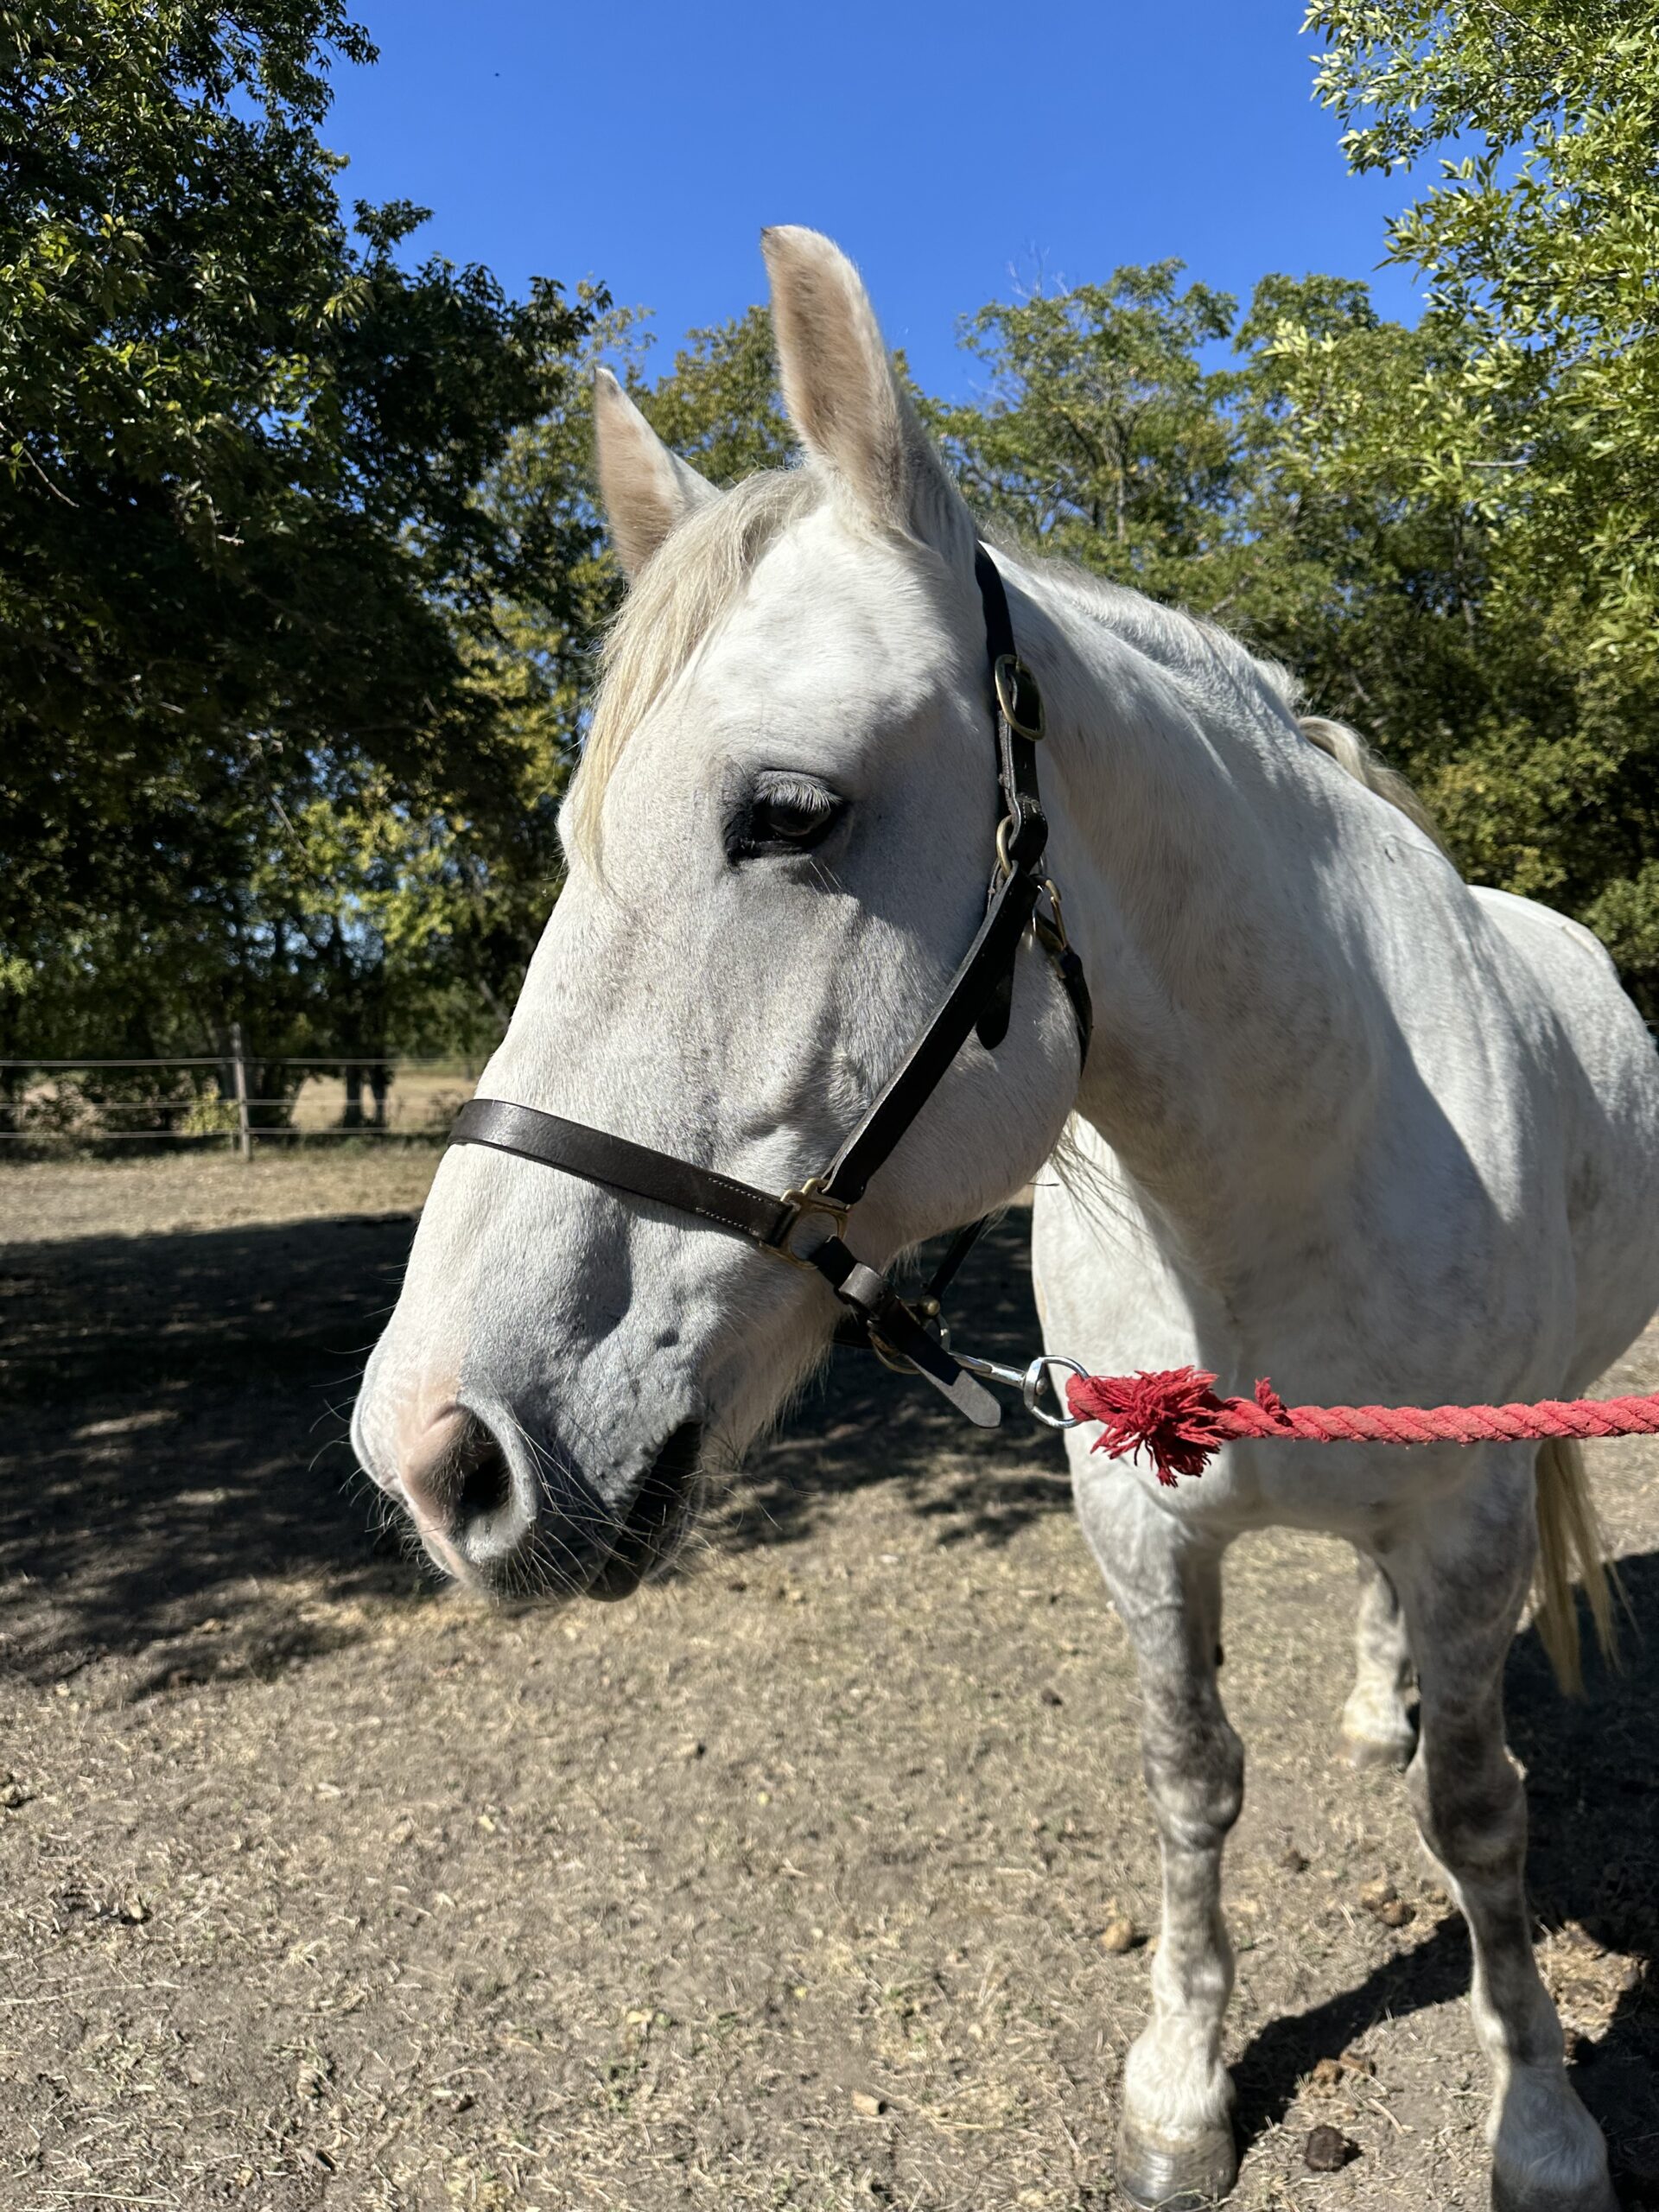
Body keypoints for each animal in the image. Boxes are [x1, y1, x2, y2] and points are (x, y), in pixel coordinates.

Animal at [353, 228, 1659, 2212]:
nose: (434, 1451)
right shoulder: (1139, 1519)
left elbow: (1480, 1813)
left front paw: (1543, 2118)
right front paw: (1188, 2086)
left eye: (790, 810)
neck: (1271, 1174)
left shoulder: (1466, 1506)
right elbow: (1194, 1784)